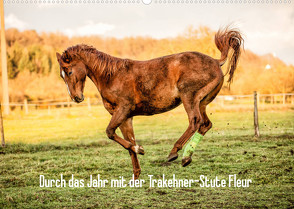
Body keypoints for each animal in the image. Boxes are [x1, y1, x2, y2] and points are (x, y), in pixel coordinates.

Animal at [56, 27, 242, 179]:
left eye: (69, 71)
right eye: (62, 75)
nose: (76, 97)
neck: (112, 76)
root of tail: (216, 61)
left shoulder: (123, 110)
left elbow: (110, 132)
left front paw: (140, 149)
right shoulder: (125, 117)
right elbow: (127, 142)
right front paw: (136, 174)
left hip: (189, 97)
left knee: (195, 121)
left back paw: (174, 153)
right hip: (202, 102)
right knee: (205, 124)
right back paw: (186, 157)